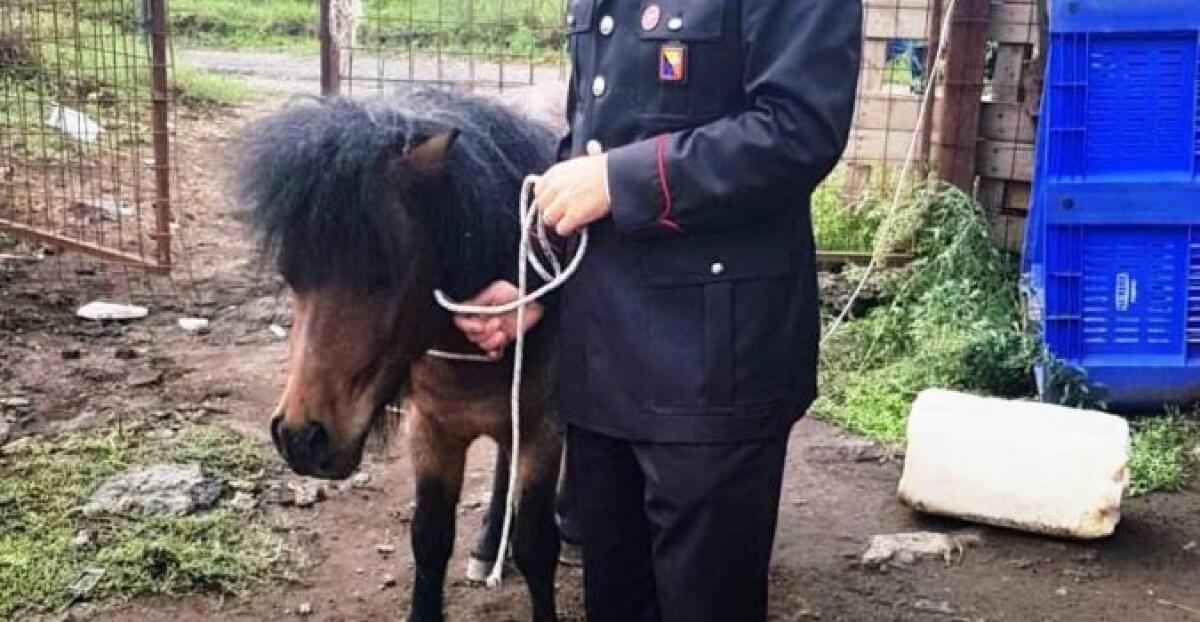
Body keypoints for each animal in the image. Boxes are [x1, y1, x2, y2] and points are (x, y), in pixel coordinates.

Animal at [238, 87, 563, 622]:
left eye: (383, 276)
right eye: (291, 274)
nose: (301, 438)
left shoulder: (543, 430)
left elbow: (538, 547)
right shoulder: (431, 430)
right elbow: (429, 538)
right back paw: (488, 544)